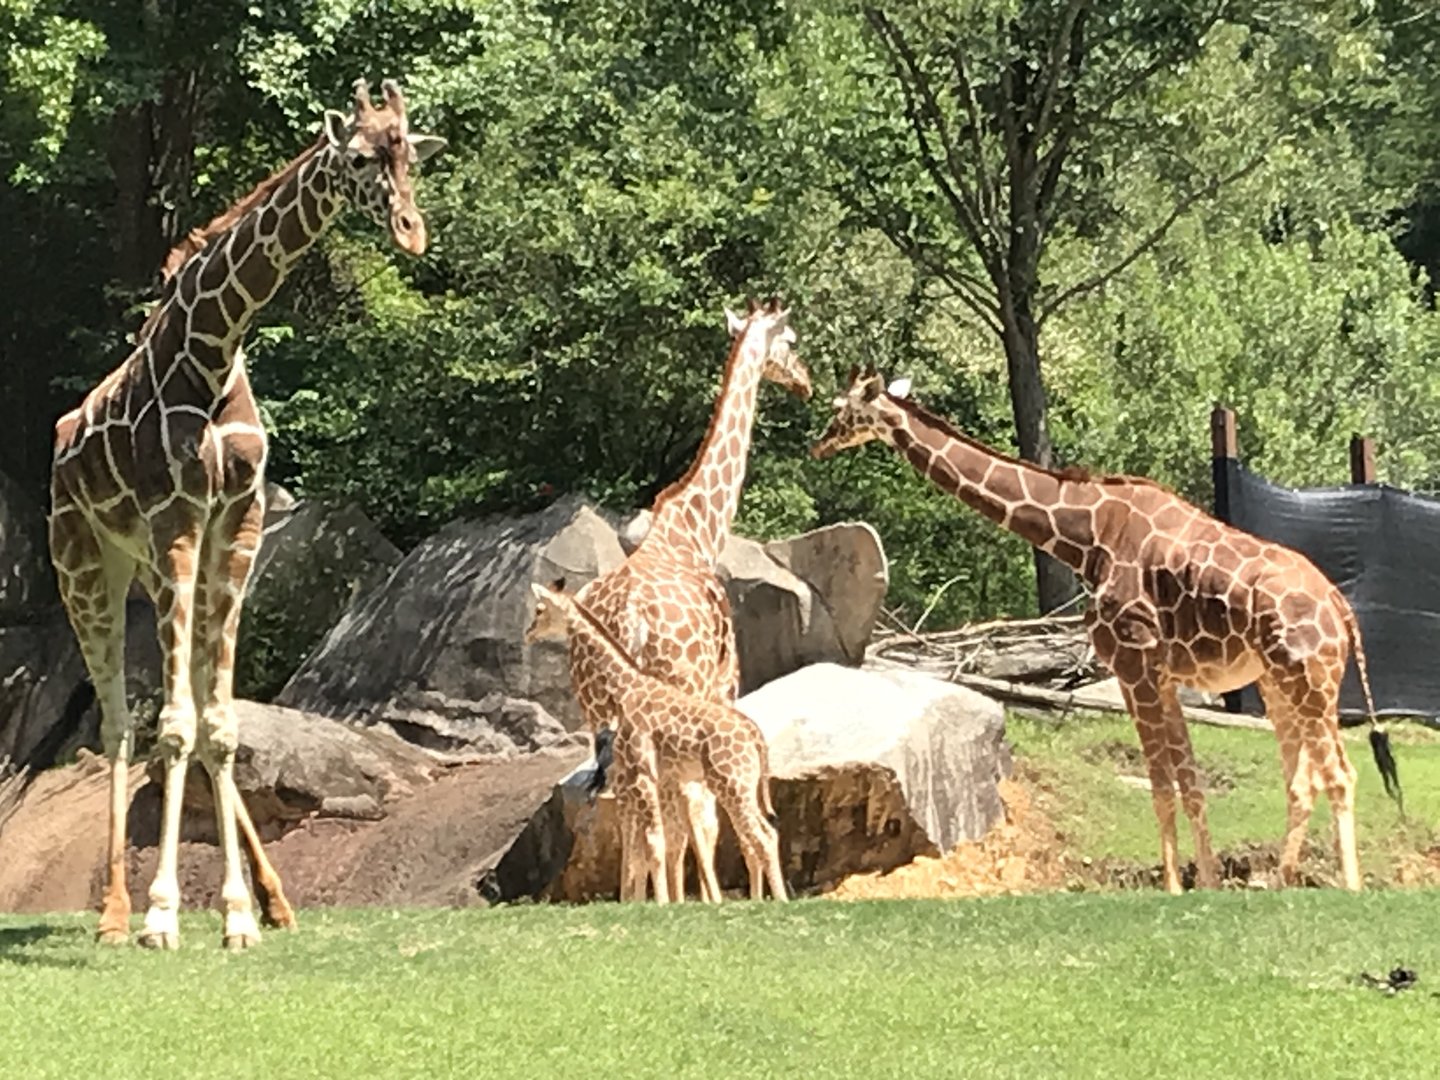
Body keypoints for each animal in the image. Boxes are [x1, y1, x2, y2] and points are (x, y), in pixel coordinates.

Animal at [48, 78, 445, 949]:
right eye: (359, 158)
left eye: (412, 156)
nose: (412, 233)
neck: (214, 345)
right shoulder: (177, 514)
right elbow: (173, 726)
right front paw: (163, 914)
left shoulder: (240, 519)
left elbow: (220, 724)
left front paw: (237, 913)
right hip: (86, 565)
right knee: (119, 720)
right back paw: (114, 914)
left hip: (155, 569)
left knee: (190, 705)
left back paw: (269, 899)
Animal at [527, 581, 787, 902]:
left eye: (540, 609)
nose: (529, 633)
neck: (626, 688)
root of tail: (755, 736)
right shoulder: (653, 776)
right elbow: (647, 841)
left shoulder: (643, 771)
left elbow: (654, 839)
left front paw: (661, 902)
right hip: (742, 784)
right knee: (762, 832)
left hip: (731, 782)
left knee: (760, 834)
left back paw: (777, 901)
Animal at [569, 297, 809, 902]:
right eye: (792, 340)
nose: (806, 382)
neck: (699, 529)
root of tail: (629, 617)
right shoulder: (723, 686)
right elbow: (709, 809)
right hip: (677, 690)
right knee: (687, 808)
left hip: (599, 714)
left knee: (628, 804)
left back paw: (639, 897)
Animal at [811, 366, 1402, 894]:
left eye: (843, 410)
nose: (818, 446)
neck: (1085, 533)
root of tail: (1340, 608)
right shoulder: (1160, 673)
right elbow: (1189, 781)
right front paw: (1208, 883)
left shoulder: (1132, 661)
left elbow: (1161, 783)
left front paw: (1174, 886)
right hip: (1277, 684)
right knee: (1301, 780)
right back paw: (1281, 882)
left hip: (1310, 678)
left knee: (1339, 774)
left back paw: (1350, 888)